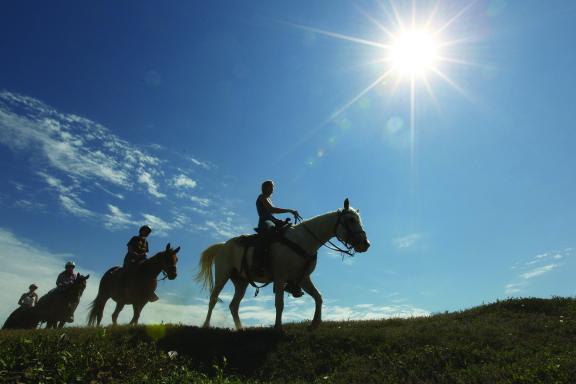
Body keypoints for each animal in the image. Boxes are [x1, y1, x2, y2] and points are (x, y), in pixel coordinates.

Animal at [196, 198, 372, 330]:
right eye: (351, 220)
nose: (365, 244)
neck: (302, 241)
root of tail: (222, 246)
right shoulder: (280, 278)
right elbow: (279, 303)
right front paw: (278, 328)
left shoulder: (303, 278)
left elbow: (318, 297)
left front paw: (314, 324)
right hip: (223, 274)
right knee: (213, 299)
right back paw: (205, 326)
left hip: (241, 281)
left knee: (234, 306)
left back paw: (241, 329)